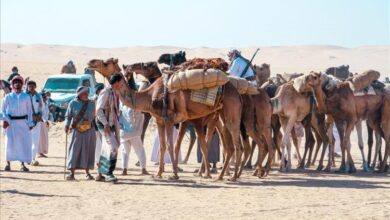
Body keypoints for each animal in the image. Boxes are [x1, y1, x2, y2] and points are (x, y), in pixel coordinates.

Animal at [90, 58, 245, 180]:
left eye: (105, 63)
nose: (91, 62)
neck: (149, 96)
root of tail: (237, 93)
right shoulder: (160, 121)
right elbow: (163, 146)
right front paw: (159, 173)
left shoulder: (169, 119)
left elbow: (171, 145)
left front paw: (174, 174)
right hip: (220, 115)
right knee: (229, 145)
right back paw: (222, 175)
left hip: (230, 112)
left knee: (236, 144)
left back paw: (232, 176)